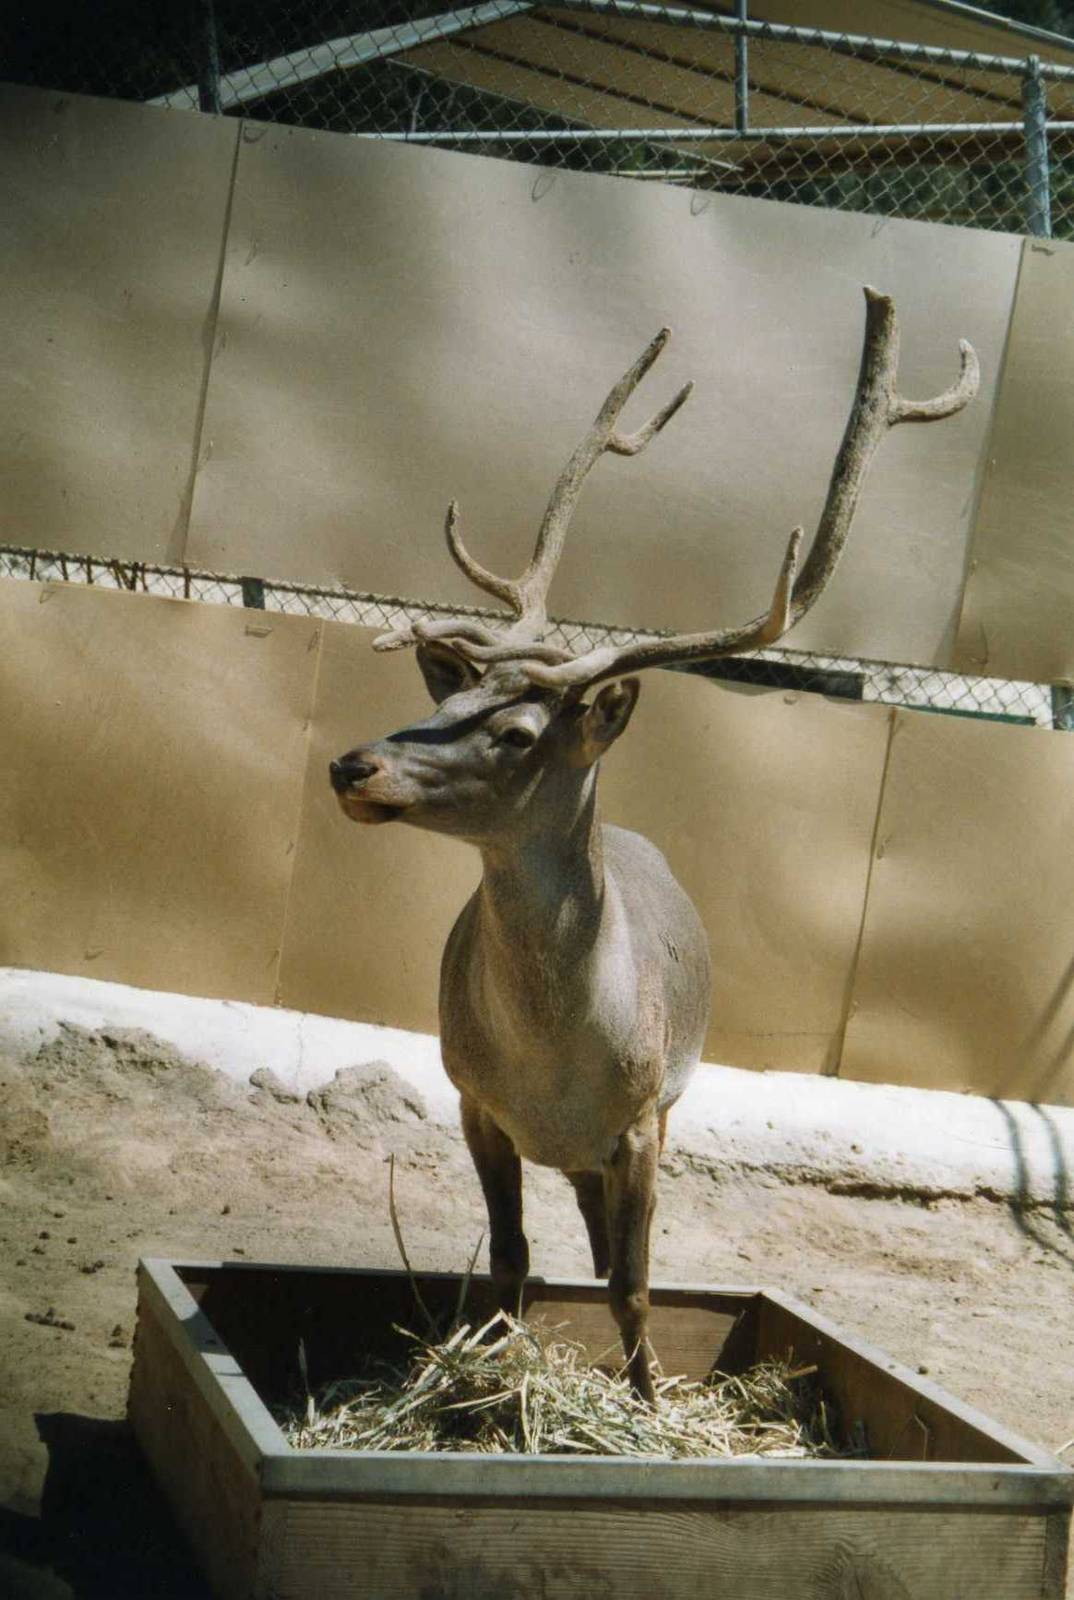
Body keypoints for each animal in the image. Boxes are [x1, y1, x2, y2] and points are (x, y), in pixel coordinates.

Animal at [329, 288, 978, 1401]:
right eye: (448, 697)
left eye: (516, 733)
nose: (351, 765)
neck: (554, 1065)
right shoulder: (472, 1098)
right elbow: (512, 1263)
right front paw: (493, 1383)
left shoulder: (641, 1119)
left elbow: (635, 1286)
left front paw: (647, 1398)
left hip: (671, 1107)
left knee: (623, 1249)